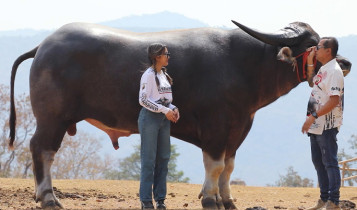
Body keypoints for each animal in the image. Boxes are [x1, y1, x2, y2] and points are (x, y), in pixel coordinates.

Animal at [8, 20, 350, 209]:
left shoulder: (238, 129)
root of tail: (43, 46)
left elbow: (228, 167)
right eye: (313, 43)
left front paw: (227, 200)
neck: (243, 65)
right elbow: (215, 165)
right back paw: (48, 198)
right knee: (42, 150)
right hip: (52, 118)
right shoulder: (216, 128)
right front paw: (210, 199)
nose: (345, 63)